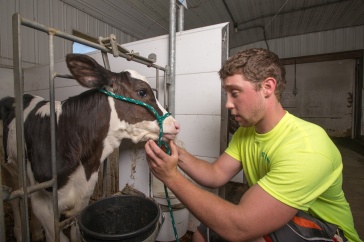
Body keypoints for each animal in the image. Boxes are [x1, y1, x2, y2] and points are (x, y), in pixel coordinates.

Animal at [1, 54, 181, 241]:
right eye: (142, 92)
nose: (175, 125)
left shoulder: (82, 198)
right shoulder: (42, 204)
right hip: (9, 170)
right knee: (15, 198)